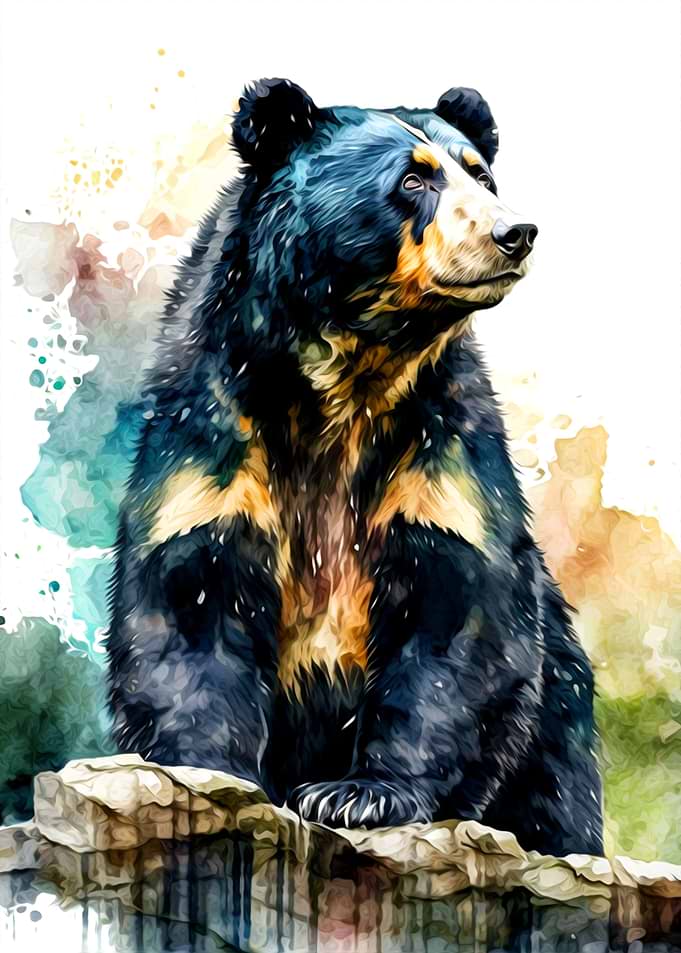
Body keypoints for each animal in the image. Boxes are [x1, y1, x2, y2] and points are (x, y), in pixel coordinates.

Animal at [107, 78, 603, 857]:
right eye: (413, 179)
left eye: (480, 174)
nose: (514, 232)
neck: (351, 372)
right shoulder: (211, 444)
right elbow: (189, 606)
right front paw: (211, 783)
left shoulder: (442, 456)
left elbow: (458, 621)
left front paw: (361, 795)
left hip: (560, 728)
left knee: (559, 804)